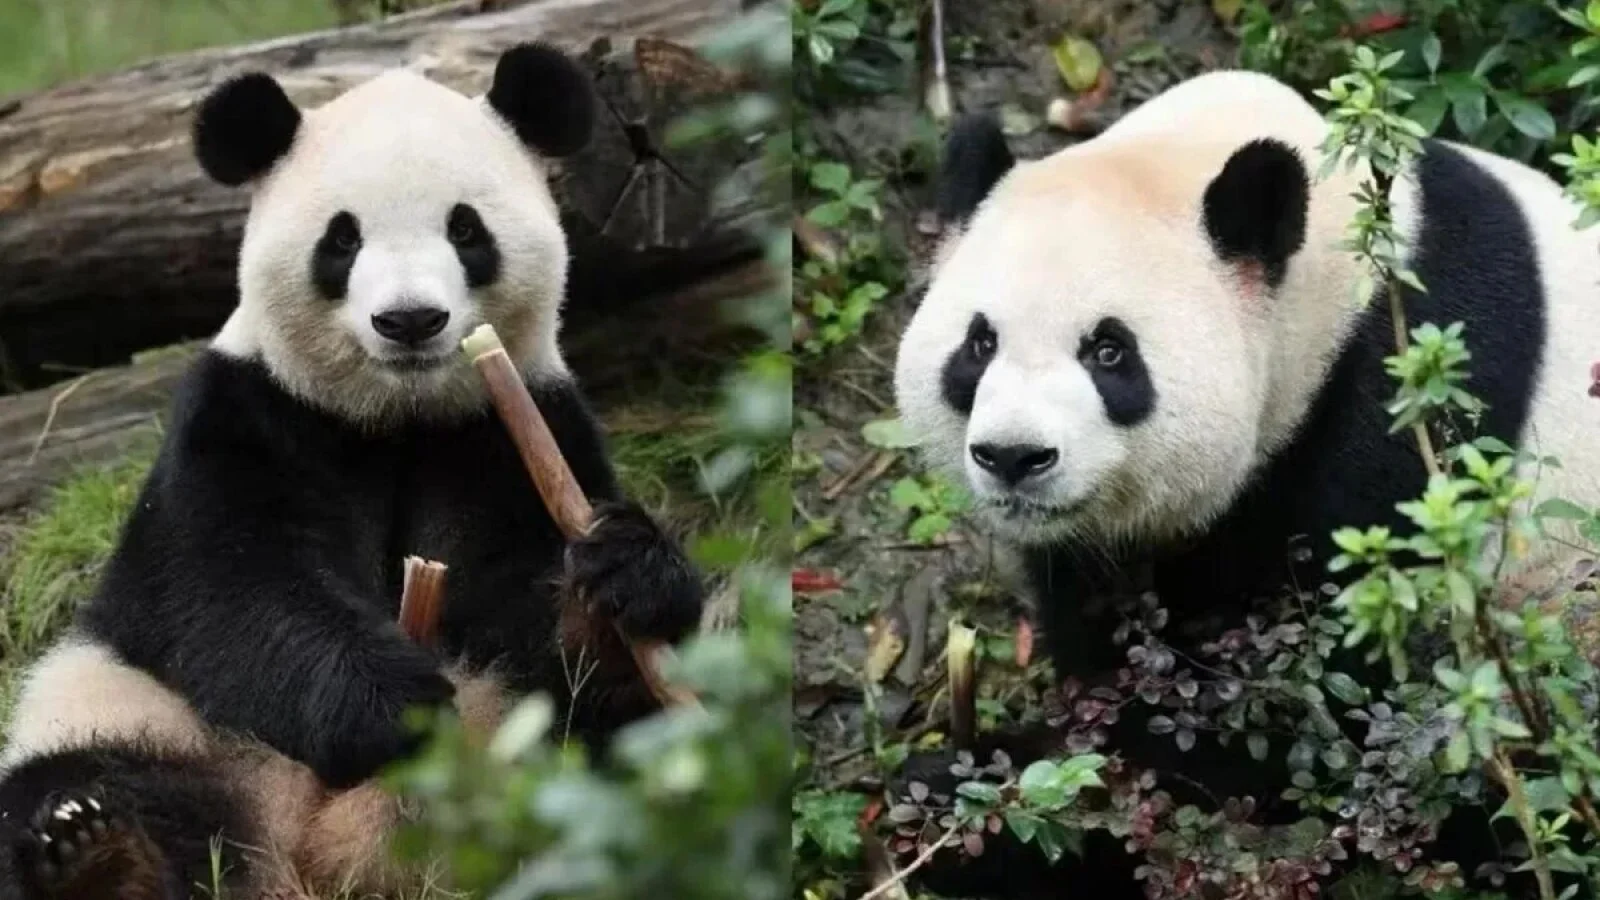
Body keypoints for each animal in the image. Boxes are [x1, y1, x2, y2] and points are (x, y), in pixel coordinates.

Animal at [0, 42, 704, 900]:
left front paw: (621, 576)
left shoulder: (513, 430)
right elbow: (231, 587)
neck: (397, 418)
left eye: (465, 228)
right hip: (131, 708)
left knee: (623, 758)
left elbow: (531, 615)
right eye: (342, 240)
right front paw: (389, 702)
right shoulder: (245, 415)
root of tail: (311, 852)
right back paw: (95, 851)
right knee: (86, 782)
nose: (409, 321)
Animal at [893, 69, 1600, 898]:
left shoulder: (1405, 416)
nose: (1013, 456)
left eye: (1109, 352)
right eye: (979, 345)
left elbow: (1293, 719)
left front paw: (991, 811)